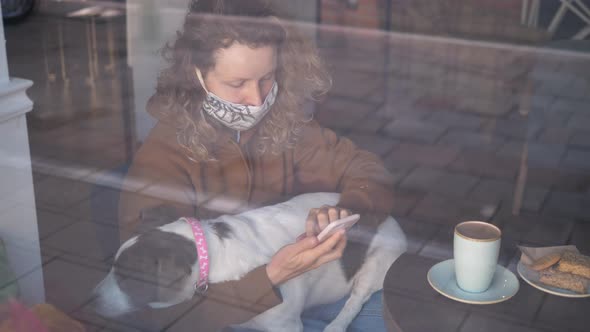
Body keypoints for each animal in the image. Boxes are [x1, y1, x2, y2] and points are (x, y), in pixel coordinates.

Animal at [93, 192, 408, 332]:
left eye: (126, 279)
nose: (92, 297)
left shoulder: (286, 326)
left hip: (376, 265)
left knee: (356, 299)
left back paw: (336, 325)